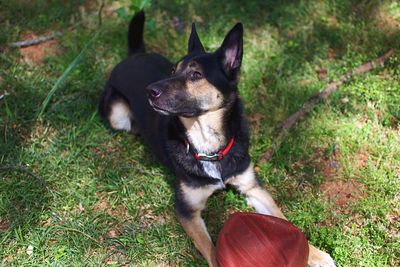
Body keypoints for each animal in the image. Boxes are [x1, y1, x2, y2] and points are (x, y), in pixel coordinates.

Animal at [98, 11, 336, 266]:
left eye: (196, 75)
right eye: (173, 71)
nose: (150, 91)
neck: (208, 143)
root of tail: (134, 55)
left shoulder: (252, 187)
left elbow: (283, 218)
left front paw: (314, 253)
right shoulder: (187, 210)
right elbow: (210, 249)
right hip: (118, 117)